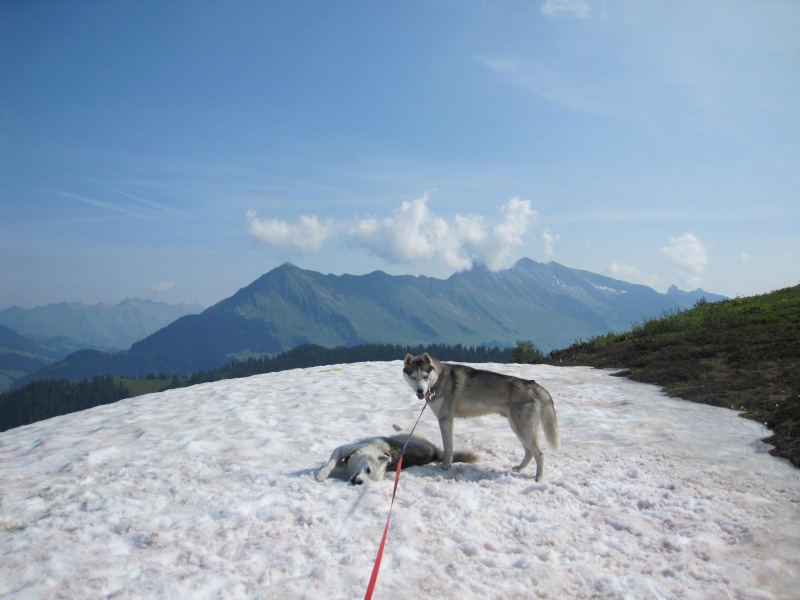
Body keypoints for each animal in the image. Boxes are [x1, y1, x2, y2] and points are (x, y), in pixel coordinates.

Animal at [316, 428, 478, 486]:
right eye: (368, 470)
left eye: (370, 476)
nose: (359, 482)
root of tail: (435, 451)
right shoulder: (343, 451)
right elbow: (331, 463)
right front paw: (322, 474)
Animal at [404, 354, 560, 480]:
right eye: (413, 377)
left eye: (425, 377)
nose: (420, 390)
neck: (438, 380)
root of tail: (534, 385)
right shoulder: (448, 420)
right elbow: (449, 446)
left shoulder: (445, 420)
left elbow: (448, 447)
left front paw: (446, 466)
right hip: (517, 428)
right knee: (529, 452)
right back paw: (520, 468)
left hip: (523, 429)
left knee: (539, 453)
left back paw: (538, 477)